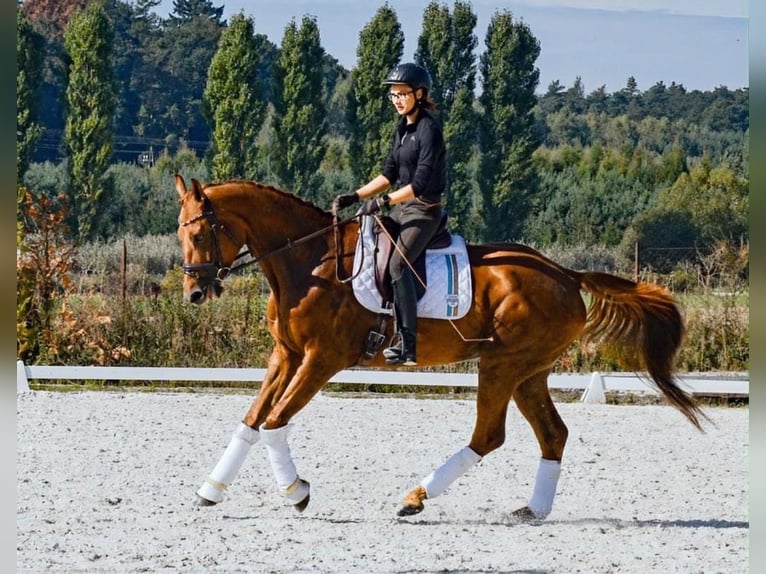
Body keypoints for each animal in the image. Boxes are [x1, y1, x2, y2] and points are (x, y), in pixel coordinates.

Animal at [175, 175, 707, 520]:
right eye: (181, 233)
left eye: (200, 231)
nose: (195, 293)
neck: (308, 261)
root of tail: (566, 274)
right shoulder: (285, 355)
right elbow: (251, 420)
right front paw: (210, 490)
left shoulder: (322, 360)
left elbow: (274, 422)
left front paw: (296, 492)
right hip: (528, 372)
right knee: (552, 435)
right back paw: (532, 510)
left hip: (500, 365)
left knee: (489, 436)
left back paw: (414, 498)